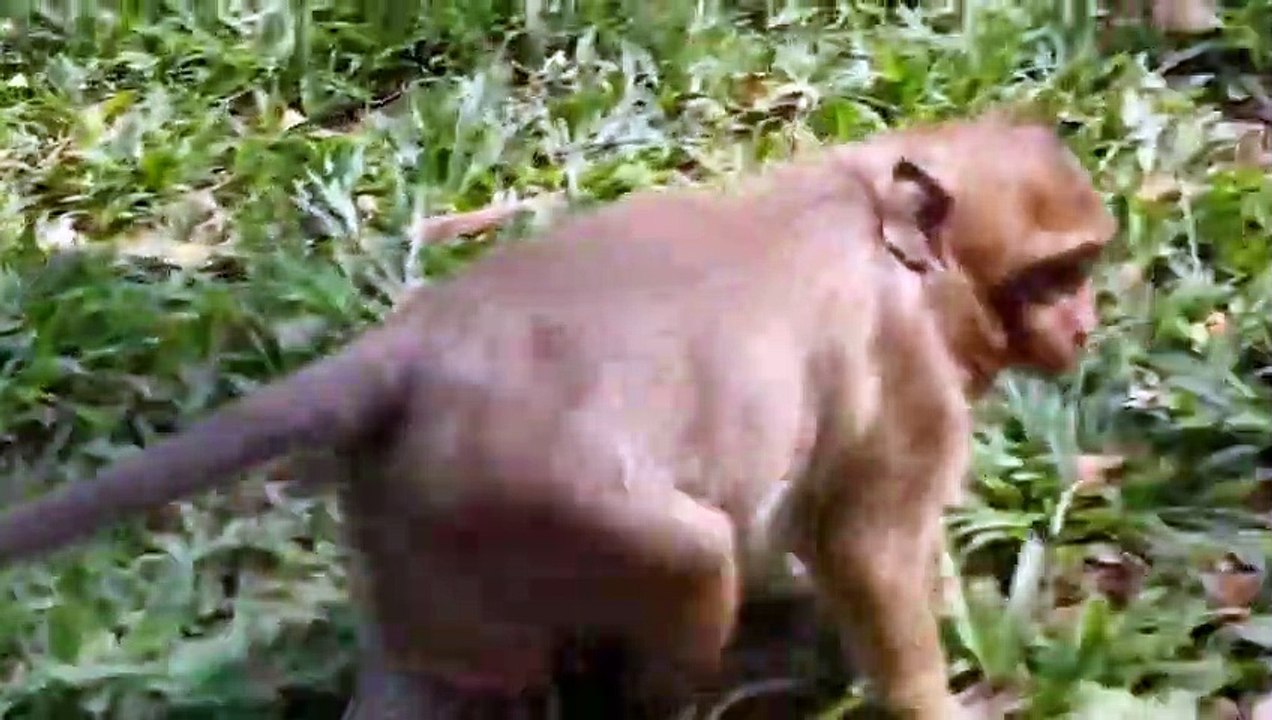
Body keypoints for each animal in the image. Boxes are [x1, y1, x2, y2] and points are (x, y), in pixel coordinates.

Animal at [0, 114, 1116, 720]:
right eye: (1051, 276)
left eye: (1083, 267)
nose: (1086, 324)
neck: (887, 227)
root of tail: (418, 348)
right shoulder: (907, 366)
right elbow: (866, 546)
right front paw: (935, 695)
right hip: (536, 504)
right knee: (695, 559)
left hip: (420, 527)